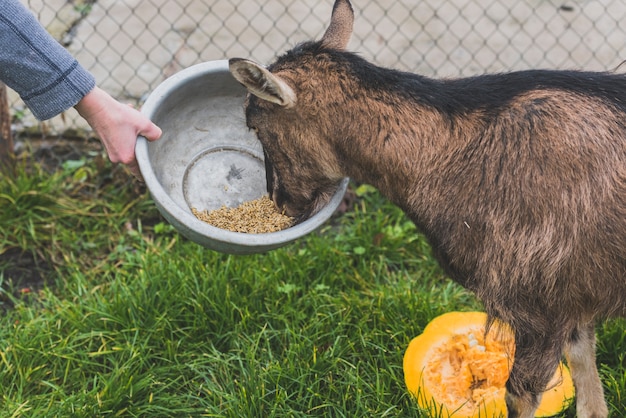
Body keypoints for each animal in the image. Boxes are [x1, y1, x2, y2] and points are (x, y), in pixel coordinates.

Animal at [228, 0, 624, 414]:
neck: (449, 154)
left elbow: (521, 395)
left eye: (254, 124)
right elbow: (587, 382)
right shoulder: (574, 294)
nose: (280, 201)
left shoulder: (539, 306)